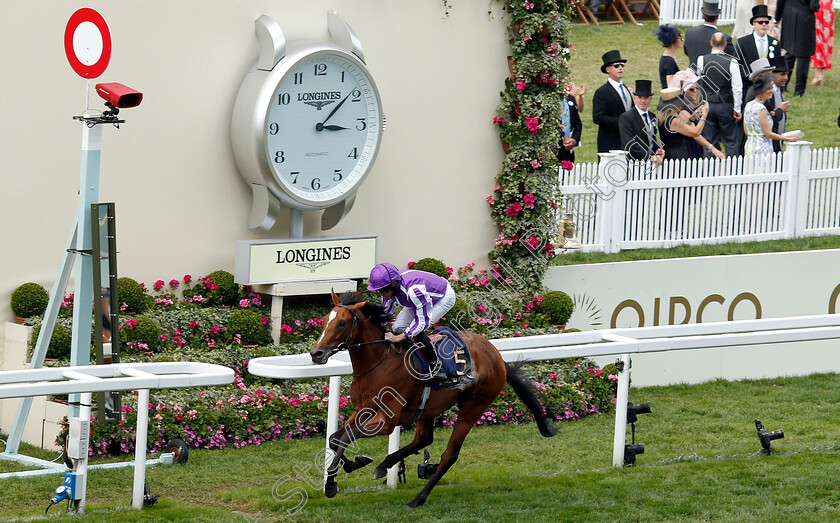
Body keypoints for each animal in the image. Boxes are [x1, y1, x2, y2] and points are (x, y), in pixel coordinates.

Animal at [310, 290, 556, 508]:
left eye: (342, 323)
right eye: (325, 320)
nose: (316, 353)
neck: (378, 363)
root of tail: (497, 356)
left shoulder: (387, 421)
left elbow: (345, 438)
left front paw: (335, 481)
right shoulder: (362, 410)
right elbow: (335, 438)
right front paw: (345, 472)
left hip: (474, 406)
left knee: (449, 455)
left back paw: (417, 499)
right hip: (428, 408)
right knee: (423, 439)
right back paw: (385, 465)